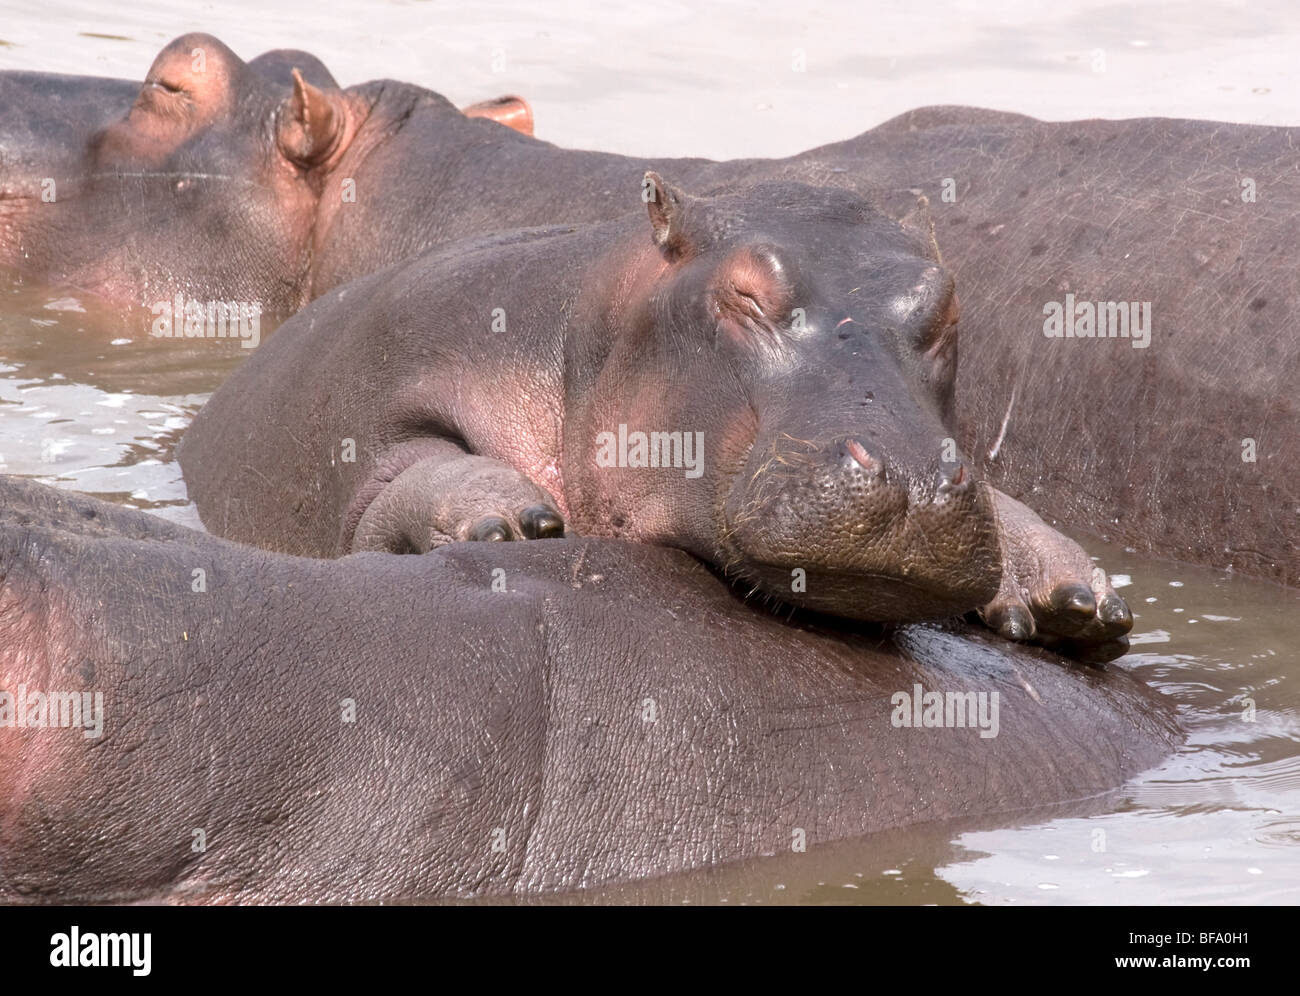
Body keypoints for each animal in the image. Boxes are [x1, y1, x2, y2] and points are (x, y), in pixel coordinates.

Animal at [180, 175, 1131, 657]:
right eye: (744, 293)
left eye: (945, 304)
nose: (910, 479)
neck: (586, 333)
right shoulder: (384, 389)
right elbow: (396, 472)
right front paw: (508, 520)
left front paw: (1069, 592)